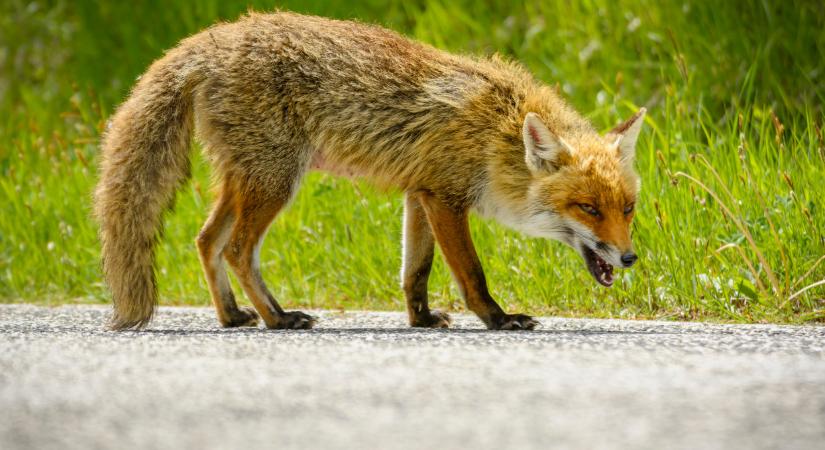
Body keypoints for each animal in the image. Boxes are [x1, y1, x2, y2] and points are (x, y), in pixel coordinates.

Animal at [95, 12, 644, 332]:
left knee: (206, 240)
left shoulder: (420, 194)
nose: (630, 257)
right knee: (236, 249)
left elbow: (415, 271)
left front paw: (420, 319)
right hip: (275, 181)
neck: (496, 133)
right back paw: (277, 318)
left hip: (248, 179)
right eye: (587, 208)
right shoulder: (446, 198)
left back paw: (232, 317)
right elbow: (471, 272)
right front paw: (497, 318)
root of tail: (213, 38)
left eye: (627, 209)